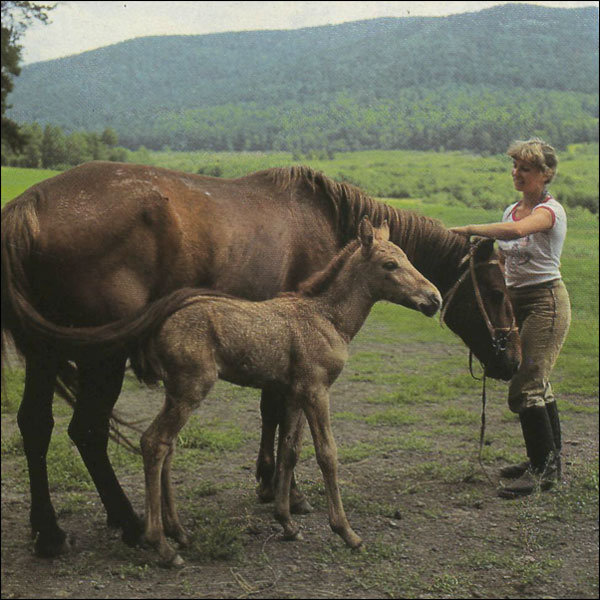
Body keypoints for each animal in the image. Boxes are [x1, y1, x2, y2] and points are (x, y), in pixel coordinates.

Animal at [135, 218, 440, 564]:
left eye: (408, 258)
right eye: (390, 264)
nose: (434, 299)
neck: (328, 318)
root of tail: (160, 325)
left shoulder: (294, 393)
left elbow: (289, 451)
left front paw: (287, 522)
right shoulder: (316, 390)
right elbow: (327, 454)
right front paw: (346, 532)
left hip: (177, 392)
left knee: (167, 446)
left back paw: (179, 532)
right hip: (190, 389)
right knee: (154, 442)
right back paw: (162, 544)